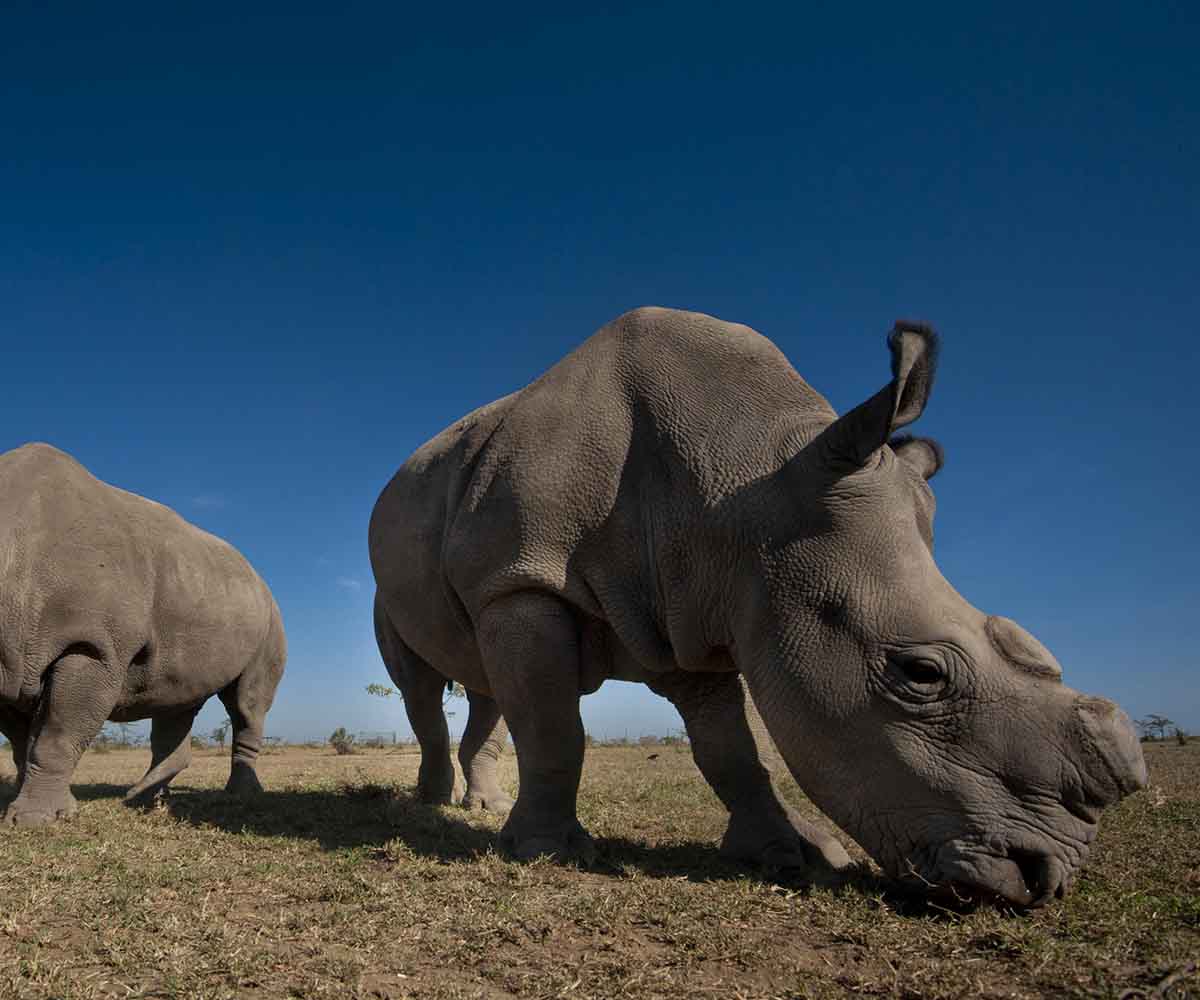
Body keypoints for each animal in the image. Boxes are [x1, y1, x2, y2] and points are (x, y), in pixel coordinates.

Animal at [0, 441, 284, 821]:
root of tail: (257, 576)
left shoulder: (92, 646)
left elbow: (55, 735)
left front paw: (34, 820)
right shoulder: (11, 662)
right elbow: (22, 740)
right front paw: (22, 804)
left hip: (270, 618)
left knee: (246, 704)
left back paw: (237, 796)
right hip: (198, 589)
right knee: (176, 699)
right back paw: (147, 799)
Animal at [369, 307, 1147, 907]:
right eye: (920, 674)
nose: (1045, 878)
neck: (746, 481)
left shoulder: (694, 604)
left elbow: (731, 749)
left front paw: (795, 854)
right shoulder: (523, 580)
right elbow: (557, 730)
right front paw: (548, 854)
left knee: (486, 686)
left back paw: (481, 807)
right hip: (410, 581)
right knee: (424, 685)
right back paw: (430, 806)